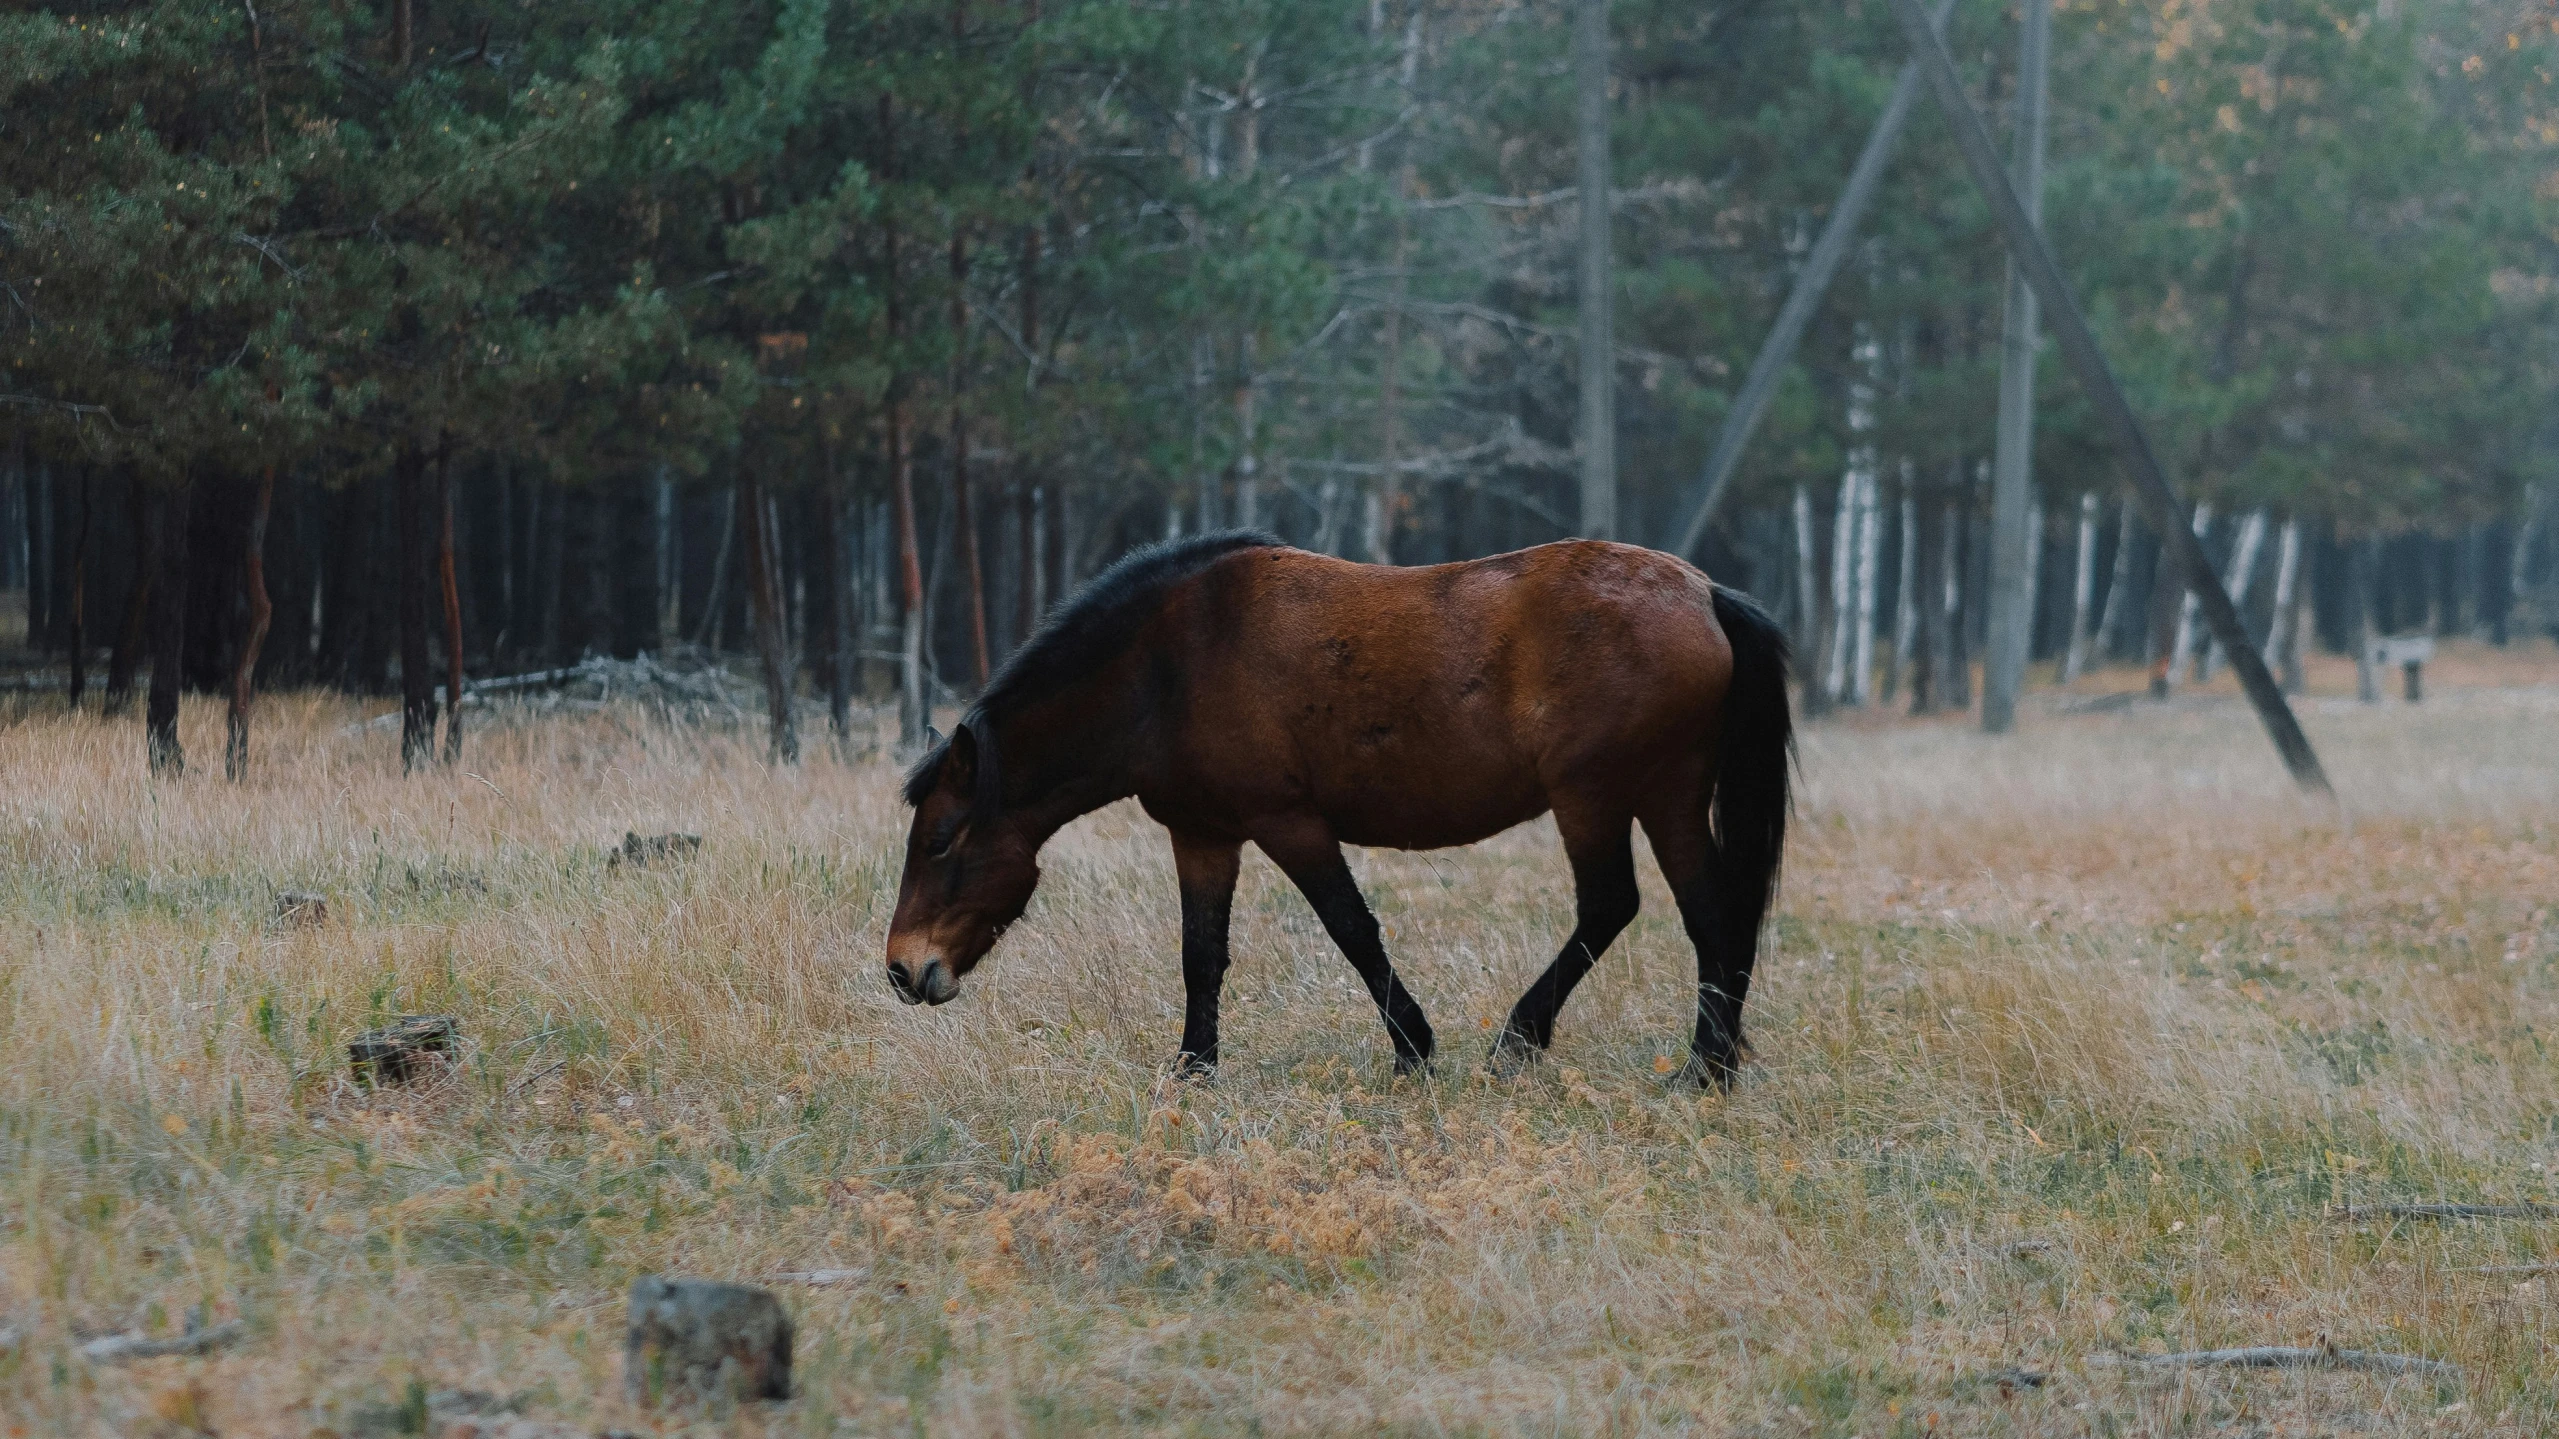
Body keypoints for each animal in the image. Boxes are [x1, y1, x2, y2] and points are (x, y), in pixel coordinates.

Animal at [890, 527, 1791, 1075]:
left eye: (938, 839)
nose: (903, 969)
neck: (1168, 663)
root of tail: (1703, 593)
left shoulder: (1289, 823)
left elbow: (1352, 930)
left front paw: (1413, 1048)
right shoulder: (1203, 833)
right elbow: (1200, 954)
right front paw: (1193, 1068)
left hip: (1595, 796)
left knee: (1610, 905)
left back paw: (1522, 1039)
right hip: (1668, 796)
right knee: (1710, 912)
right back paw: (1706, 1067)